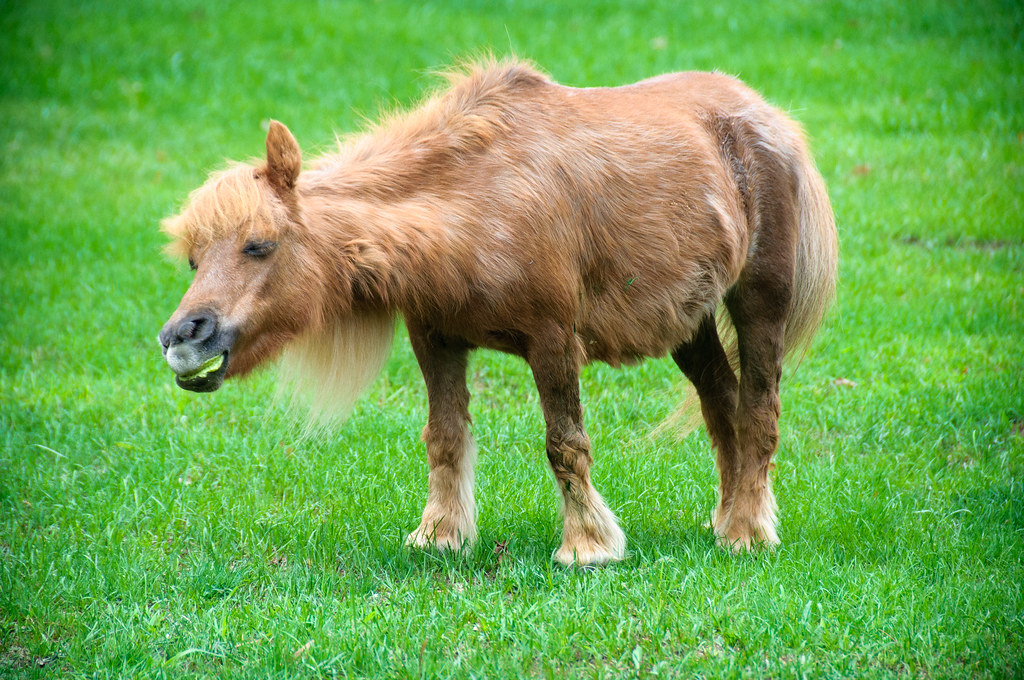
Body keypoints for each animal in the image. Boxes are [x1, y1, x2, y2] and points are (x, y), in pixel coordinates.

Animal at [158, 60, 837, 566]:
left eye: (259, 245)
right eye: (193, 258)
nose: (181, 337)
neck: (477, 200)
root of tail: (768, 117)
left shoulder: (553, 341)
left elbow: (565, 444)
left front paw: (587, 545)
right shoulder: (435, 341)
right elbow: (444, 438)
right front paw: (441, 535)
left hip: (759, 302)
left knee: (758, 411)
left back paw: (748, 532)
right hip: (688, 321)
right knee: (722, 403)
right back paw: (728, 518)